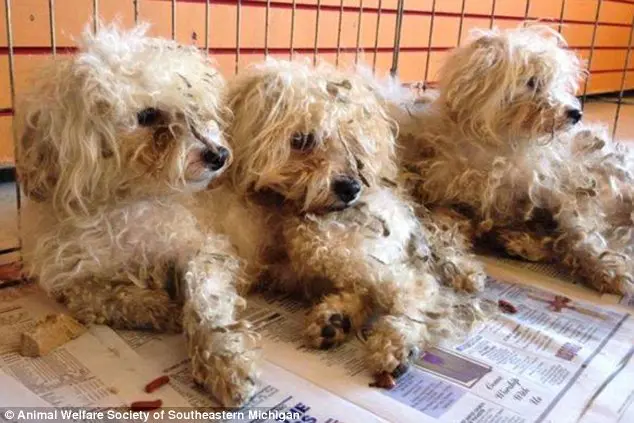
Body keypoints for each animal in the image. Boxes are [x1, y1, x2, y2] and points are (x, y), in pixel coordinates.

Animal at [17, 23, 260, 408]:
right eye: (148, 116)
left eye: (195, 107)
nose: (219, 154)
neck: (125, 204)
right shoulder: (66, 275)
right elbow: (97, 295)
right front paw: (156, 307)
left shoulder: (205, 247)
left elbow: (208, 301)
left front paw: (225, 361)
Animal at [196, 58, 484, 390]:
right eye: (302, 140)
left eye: (353, 143)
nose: (351, 188)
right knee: (369, 288)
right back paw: (335, 320)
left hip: (321, 237)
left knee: (415, 285)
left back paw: (395, 343)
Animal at [388, 25, 632, 294]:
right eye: (533, 82)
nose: (575, 113)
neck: (497, 147)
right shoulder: (447, 197)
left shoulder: (557, 187)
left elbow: (578, 234)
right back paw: (519, 242)